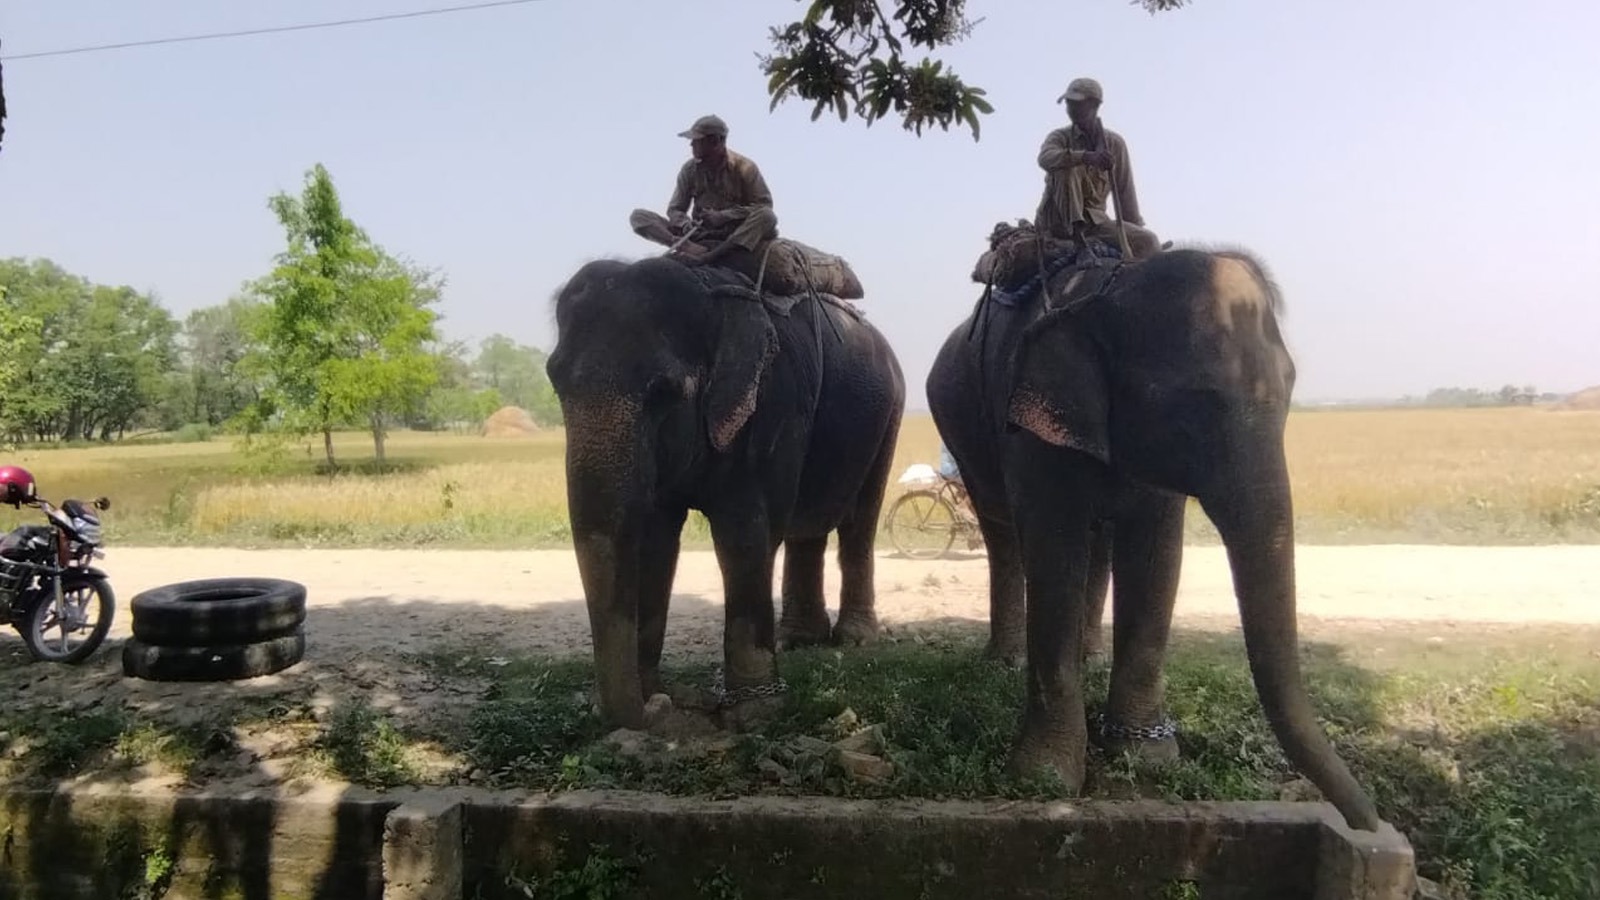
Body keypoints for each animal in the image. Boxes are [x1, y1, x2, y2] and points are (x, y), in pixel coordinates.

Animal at [547, 253, 908, 730]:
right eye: (554, 382)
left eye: (664, 392)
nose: (655, 708)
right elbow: (656, 539)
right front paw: (656, 692)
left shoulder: (775, 402)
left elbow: (744, 534)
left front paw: (754, 713)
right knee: (806, 530)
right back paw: (799, 639)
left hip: (890, 415)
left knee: (859, 523)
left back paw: (853, 640)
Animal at [928, 243, 1388, 826]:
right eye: (1194, 402)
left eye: (1289, 390)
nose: (1374, 826)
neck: (1110, 289)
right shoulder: (1032, 423)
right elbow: (1055, 546)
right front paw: (1043, 777)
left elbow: (1155, 554)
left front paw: (1144, 755)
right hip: (959, 425)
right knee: (1002, 532)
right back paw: (1005, 662)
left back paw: (1090, 657)